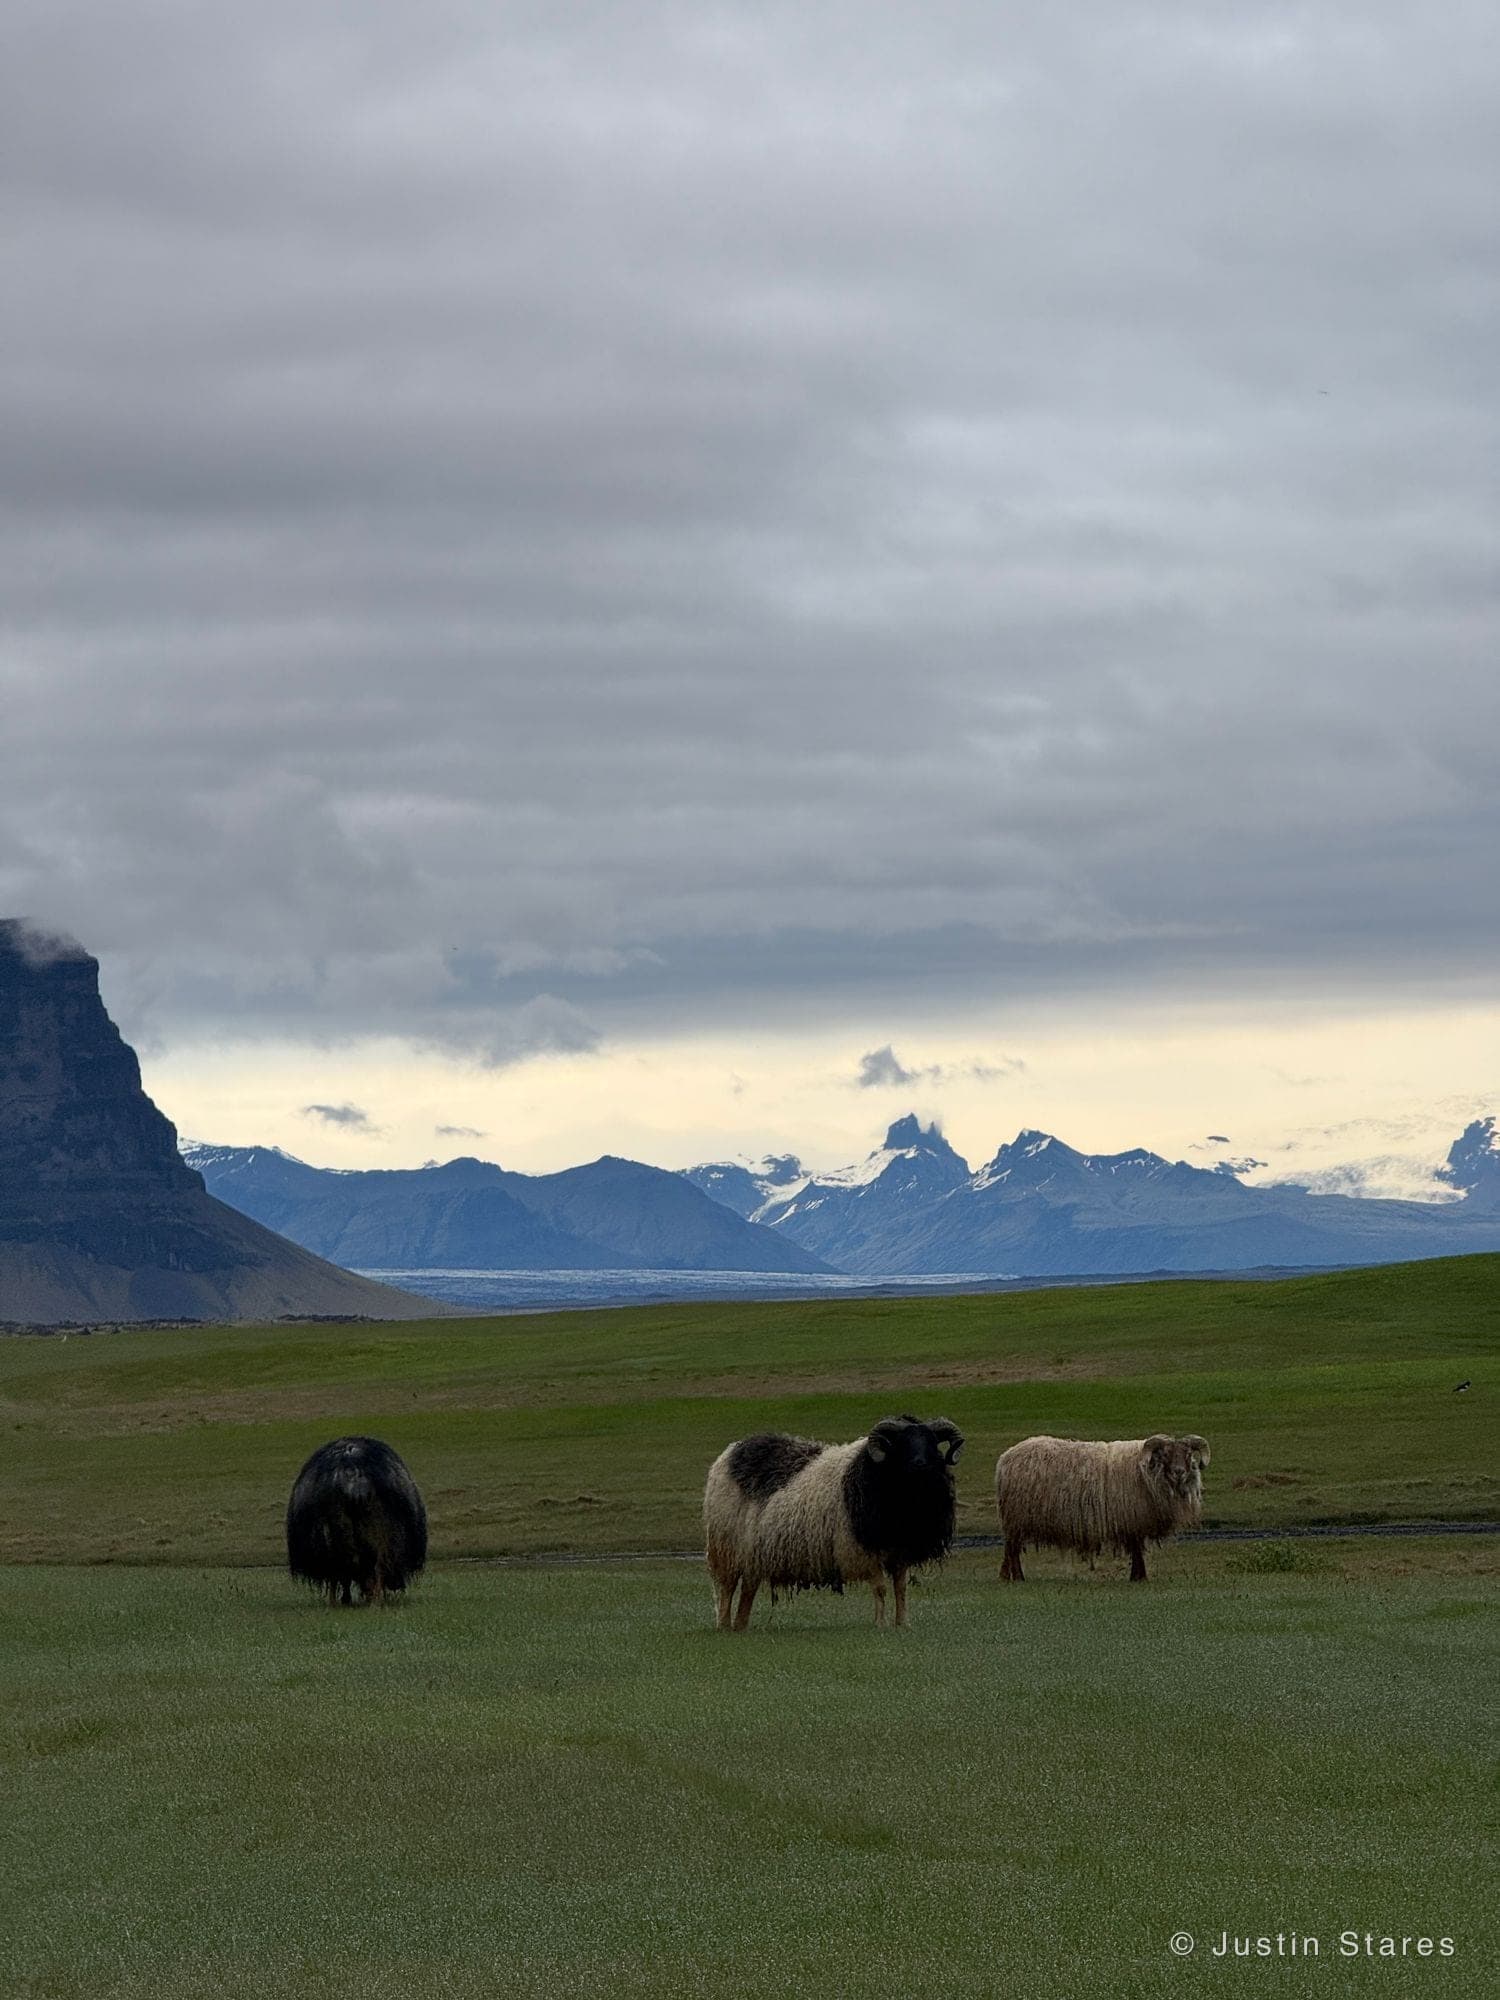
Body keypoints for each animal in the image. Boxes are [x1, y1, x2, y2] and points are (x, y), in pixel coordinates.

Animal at [286, 1435, 428, 1606]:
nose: (397, 1585)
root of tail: (353, 1475)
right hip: (379, 1531)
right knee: (376, 1566)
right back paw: (373, 1601)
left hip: (332, 1533)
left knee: (341, 1565)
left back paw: (339, 1602)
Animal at [704, 1414, 963, 1630]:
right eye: (901, 1442)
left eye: (932, 1442)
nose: (920, 1463)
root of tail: (731, 1451)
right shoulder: (862, 1551)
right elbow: (880, 1589)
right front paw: (880, 1624)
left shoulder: (900, 1551)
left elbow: (901, 1589)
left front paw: (902, 1624)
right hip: (727, 1548)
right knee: (727, 1588)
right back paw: (724, 1625)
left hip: (753, 1553)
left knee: (748, 1588)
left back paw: (741, 1625)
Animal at [995, 1433, 1210, 1583]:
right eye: (1165, 1454)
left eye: (1188, 1454)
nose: (1179, 1472)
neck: (1147, 1472)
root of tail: (1004, 1459)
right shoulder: (1131, 1519)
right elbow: (1137, 1550)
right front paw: (1139, 1577)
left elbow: (1137, 1550)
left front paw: (1138, 1576)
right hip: (1017, 1516)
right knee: (1012, 1549)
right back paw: (1019, 1578)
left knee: (1010, 1549)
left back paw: (1007, 1576)